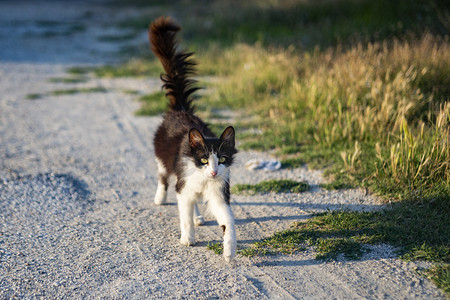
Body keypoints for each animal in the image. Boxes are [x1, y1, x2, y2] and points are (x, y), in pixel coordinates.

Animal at [149, 16, 239, 262]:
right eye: (204, 160)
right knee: (164, 178)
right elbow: (184, 215)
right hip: (164, 159)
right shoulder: (185, 180)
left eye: (222, 159)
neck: (203, 178)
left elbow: (228, 221)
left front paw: (229, 250)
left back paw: (198, 216)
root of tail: (179, 109)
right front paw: (187, 239)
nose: (214, 172)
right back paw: (160, 198)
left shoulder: (218, 192)